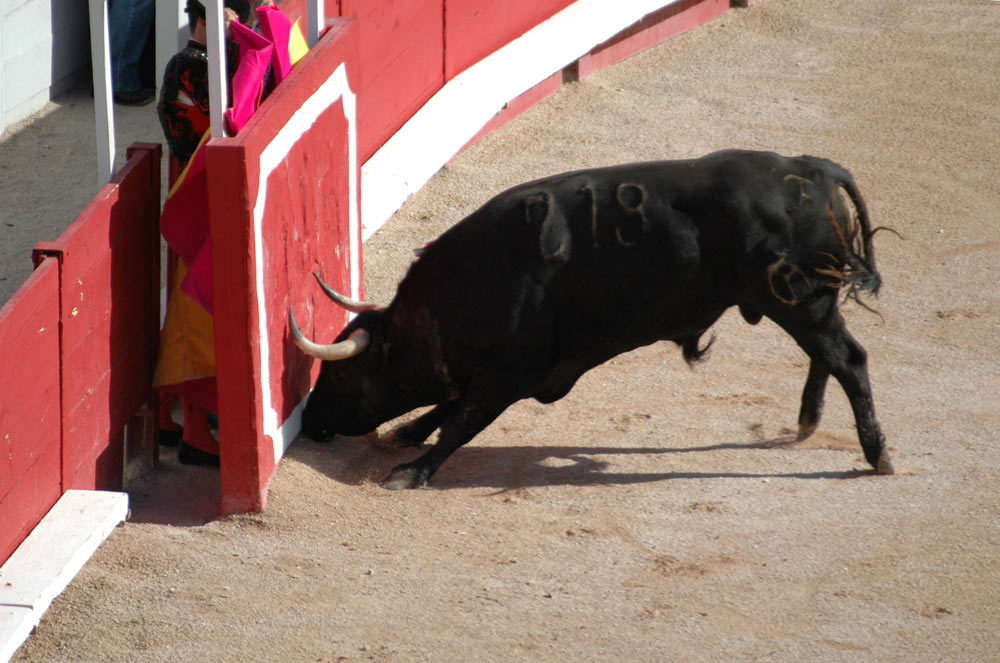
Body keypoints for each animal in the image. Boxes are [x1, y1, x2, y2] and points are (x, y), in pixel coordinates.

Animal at [288, 152, 892, 492]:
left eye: (338, 374)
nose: (310, 422)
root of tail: (815, 170)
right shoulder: (500, 373)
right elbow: (451, 404)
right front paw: (406, 434)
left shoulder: (513, 372)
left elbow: (463, 420)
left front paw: (410, 472)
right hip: (807, 303)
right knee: (827, 356)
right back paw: (808, 422)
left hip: (799, 303)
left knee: (848, 359)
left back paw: (877, 455)